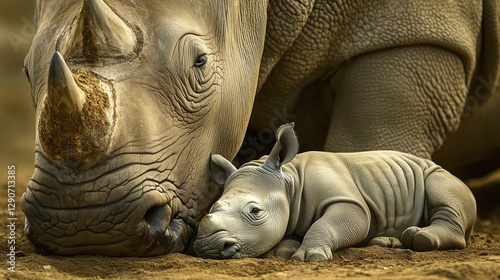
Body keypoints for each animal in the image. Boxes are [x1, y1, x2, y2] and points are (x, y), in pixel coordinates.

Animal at [192, 123, 476, 262]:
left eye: (255, 211)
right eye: (212, 209)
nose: (208, 247)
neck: (289, 181)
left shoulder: (349, 202)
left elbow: (332, 222)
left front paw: (310, 256)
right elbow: (289, 234)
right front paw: (282, 253)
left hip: (440, 175)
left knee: (443, 188)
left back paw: (421, 239)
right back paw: (388, 242)